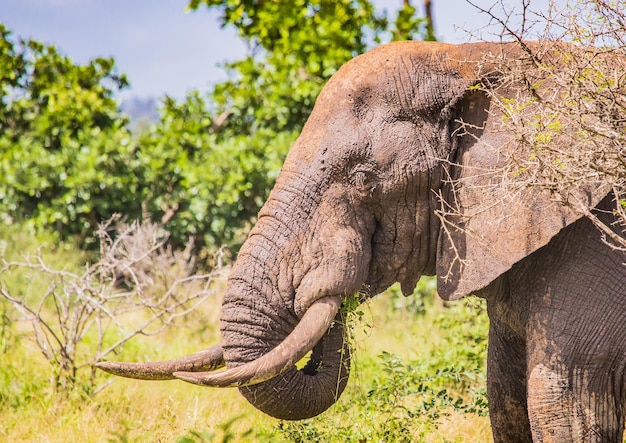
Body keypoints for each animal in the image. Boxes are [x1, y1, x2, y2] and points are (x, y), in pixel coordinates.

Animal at [96, 40, 624, 442]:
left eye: (364, 179)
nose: (316, 292)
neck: (473, 58)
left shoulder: (597, 237)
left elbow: (565, 403)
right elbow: (505, 397)